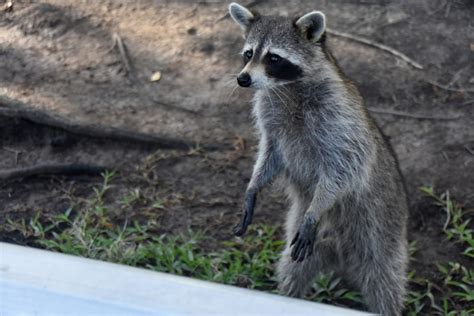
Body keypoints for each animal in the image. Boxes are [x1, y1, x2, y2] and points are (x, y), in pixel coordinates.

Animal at [228, 3, 410, 316]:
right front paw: (253, 186)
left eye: (274, 58)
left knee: (384, 278)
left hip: (381, 231)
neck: (287, 86)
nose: (243, 79)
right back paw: (287, 295)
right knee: (292, 269)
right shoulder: (271, 118)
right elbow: (271, 155)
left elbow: (344, 168)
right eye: (249, 53)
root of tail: (342, 259)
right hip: (305, 247)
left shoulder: (339, 119)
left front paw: (316, 209)